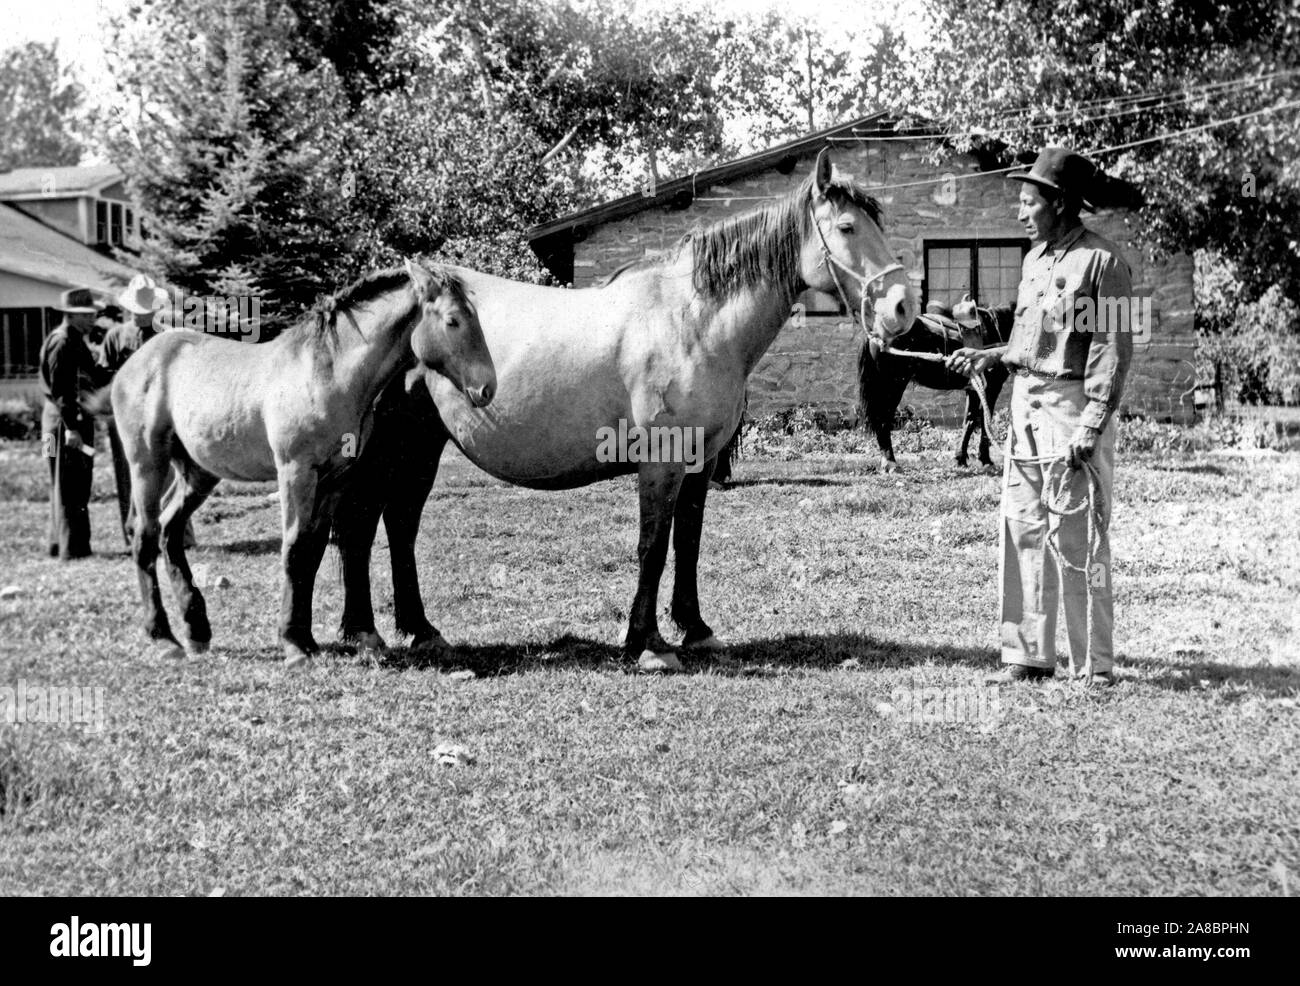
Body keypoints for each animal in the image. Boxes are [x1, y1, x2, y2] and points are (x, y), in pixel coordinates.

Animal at [863, 297, 1013, 476]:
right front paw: (986, 461)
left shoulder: (974, 390)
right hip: (892, 387)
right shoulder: (992, 388)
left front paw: (960, 459)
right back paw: (890, 463)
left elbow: (969, 421)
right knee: (883, 421)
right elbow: (984, 424)